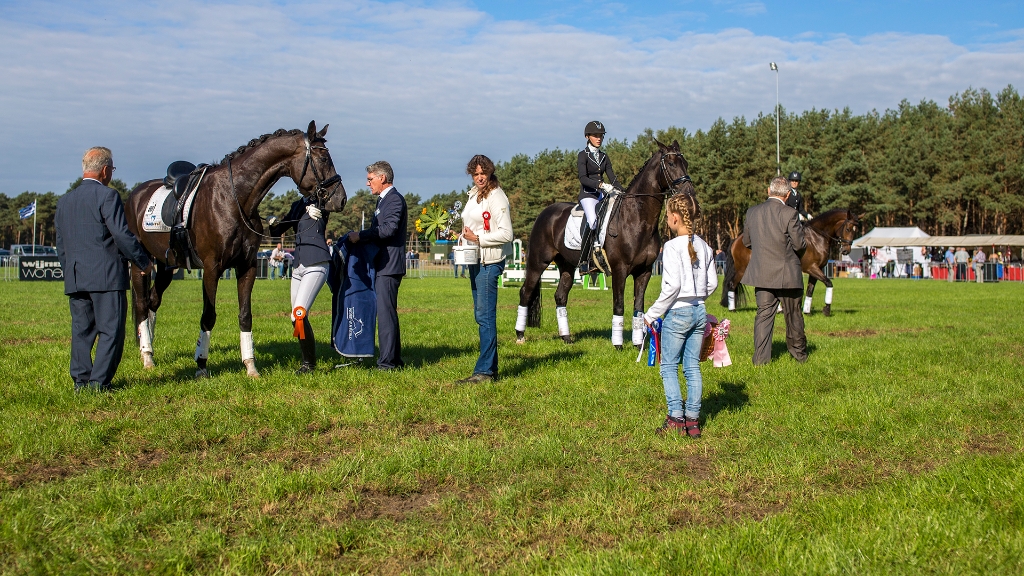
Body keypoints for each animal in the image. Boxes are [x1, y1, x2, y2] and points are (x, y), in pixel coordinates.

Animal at [124, 119, 346, 377]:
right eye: (324, 158)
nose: (341, 199)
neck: (234, 198)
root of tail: (135, 195)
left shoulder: (246, 266)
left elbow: (245, 315)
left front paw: (250, 366)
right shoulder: (211, 269)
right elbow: (208, 316)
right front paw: (201, 365)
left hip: (166, 266)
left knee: (152, 301)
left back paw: (148, 349)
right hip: (140, 264)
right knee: (141, 304)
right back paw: (147, 356)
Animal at [520, 139, 696, 350]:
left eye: (685, 163)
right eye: (670, 164)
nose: (689, 193)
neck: (637, 219)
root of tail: (545, 213)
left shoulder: (644, 271)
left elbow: (638, 307)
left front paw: (638, 345)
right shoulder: (620, 269)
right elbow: (619, 305)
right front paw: (618, 345)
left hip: (567, 266)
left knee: (560, 296)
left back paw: (566, 337)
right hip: (538, 262)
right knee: (526, 292)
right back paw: (520, 336)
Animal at [720, 207, 864, 315]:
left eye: (856, 231)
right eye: (848, 229)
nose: (846, 251)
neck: (817, 237)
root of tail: (738, 239)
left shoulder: (817, 269)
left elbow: (810, 290)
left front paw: (807, 311)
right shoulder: (811, 267)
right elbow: (829, 283)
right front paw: (827, 310)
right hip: (742, 269)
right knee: (732, 284)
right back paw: (732, 309)